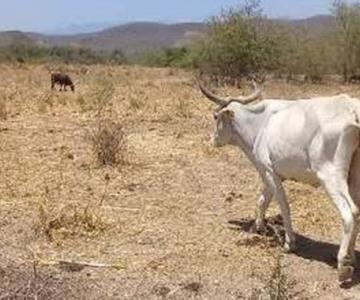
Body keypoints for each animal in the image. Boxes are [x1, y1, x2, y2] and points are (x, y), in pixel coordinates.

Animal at [200, 84, 360, 282]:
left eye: (215, 116)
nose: (212, 139)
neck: (259, 123)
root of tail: (351, 108)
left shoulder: (268, 171)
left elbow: (283, 206)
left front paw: (289, 243)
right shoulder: (271, 173)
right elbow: (263, 200)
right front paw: (258, 227)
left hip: (331, 177)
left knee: (350, 213)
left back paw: (343, 264)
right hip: (353, 179)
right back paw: (352, 257)